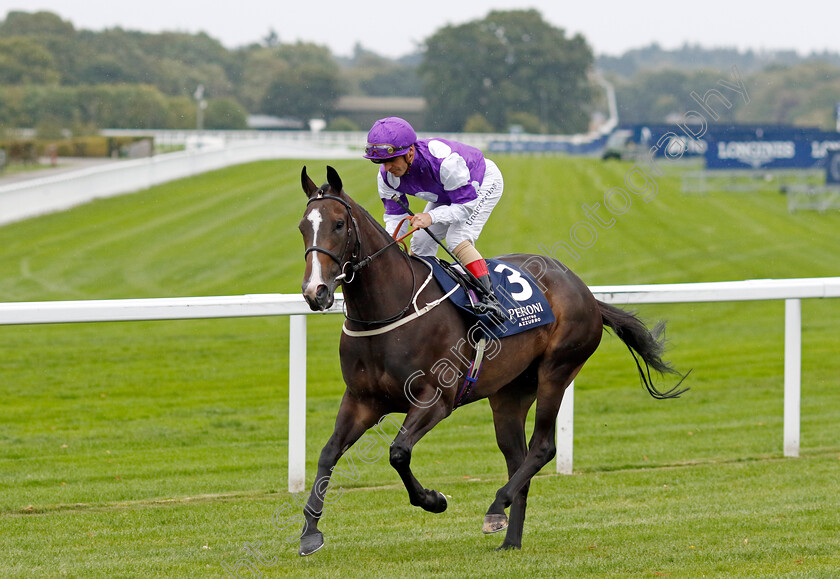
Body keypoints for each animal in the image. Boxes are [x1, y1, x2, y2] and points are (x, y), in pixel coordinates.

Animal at [298, 165, 684, 556]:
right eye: (302, 227)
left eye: (339, 225)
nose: (316, 292)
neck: (390, 309)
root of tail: (586, 292)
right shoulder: (361, 400)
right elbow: (328, 453)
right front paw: (310, 532)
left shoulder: (436, 399)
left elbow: (398, 452)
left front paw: (434, 500)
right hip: (510, 393)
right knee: (518, 459)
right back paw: (510, 539)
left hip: (557, 370)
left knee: (542, 448)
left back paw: (497, 507)